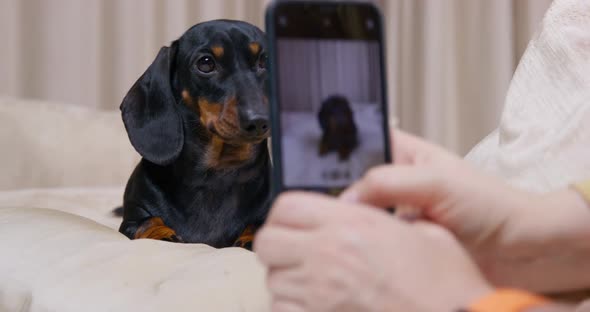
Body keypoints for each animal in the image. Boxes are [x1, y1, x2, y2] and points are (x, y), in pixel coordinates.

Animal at [116, 20, 272, 249]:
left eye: (264, 61)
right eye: (205, 63)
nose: (259, 121)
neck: (216, 173)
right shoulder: (133, 216)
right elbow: (148, 221)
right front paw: (161, 234)